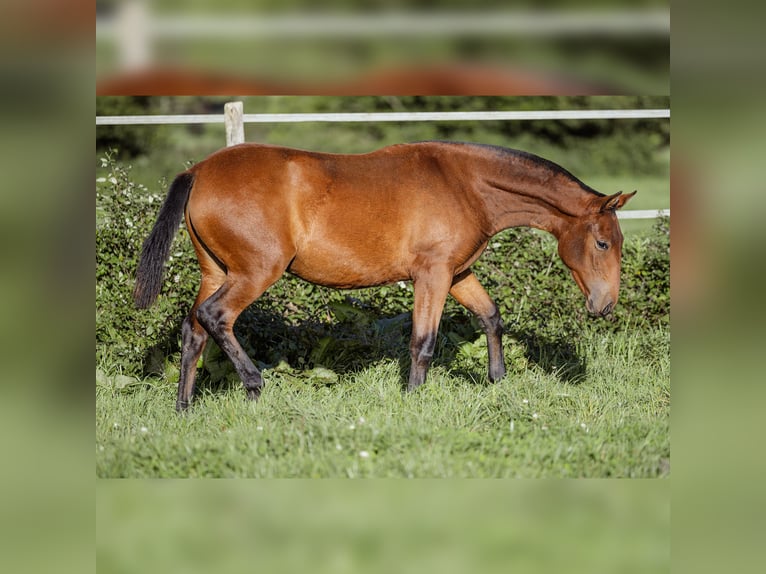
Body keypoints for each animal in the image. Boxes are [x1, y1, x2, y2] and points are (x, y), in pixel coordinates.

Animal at [135, 144, 640, 414]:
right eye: (602, 243)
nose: (605, 305)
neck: (466, 185)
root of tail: (198, 171)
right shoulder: (432, 274)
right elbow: (423, 342)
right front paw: (414, 399)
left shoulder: (458, 273)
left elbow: (491, 317)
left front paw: (497, 382)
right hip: (255, 272)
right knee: (216, 316)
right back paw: (255, 385)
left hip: (216, 270)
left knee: (193, 329)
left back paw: (183, 408)